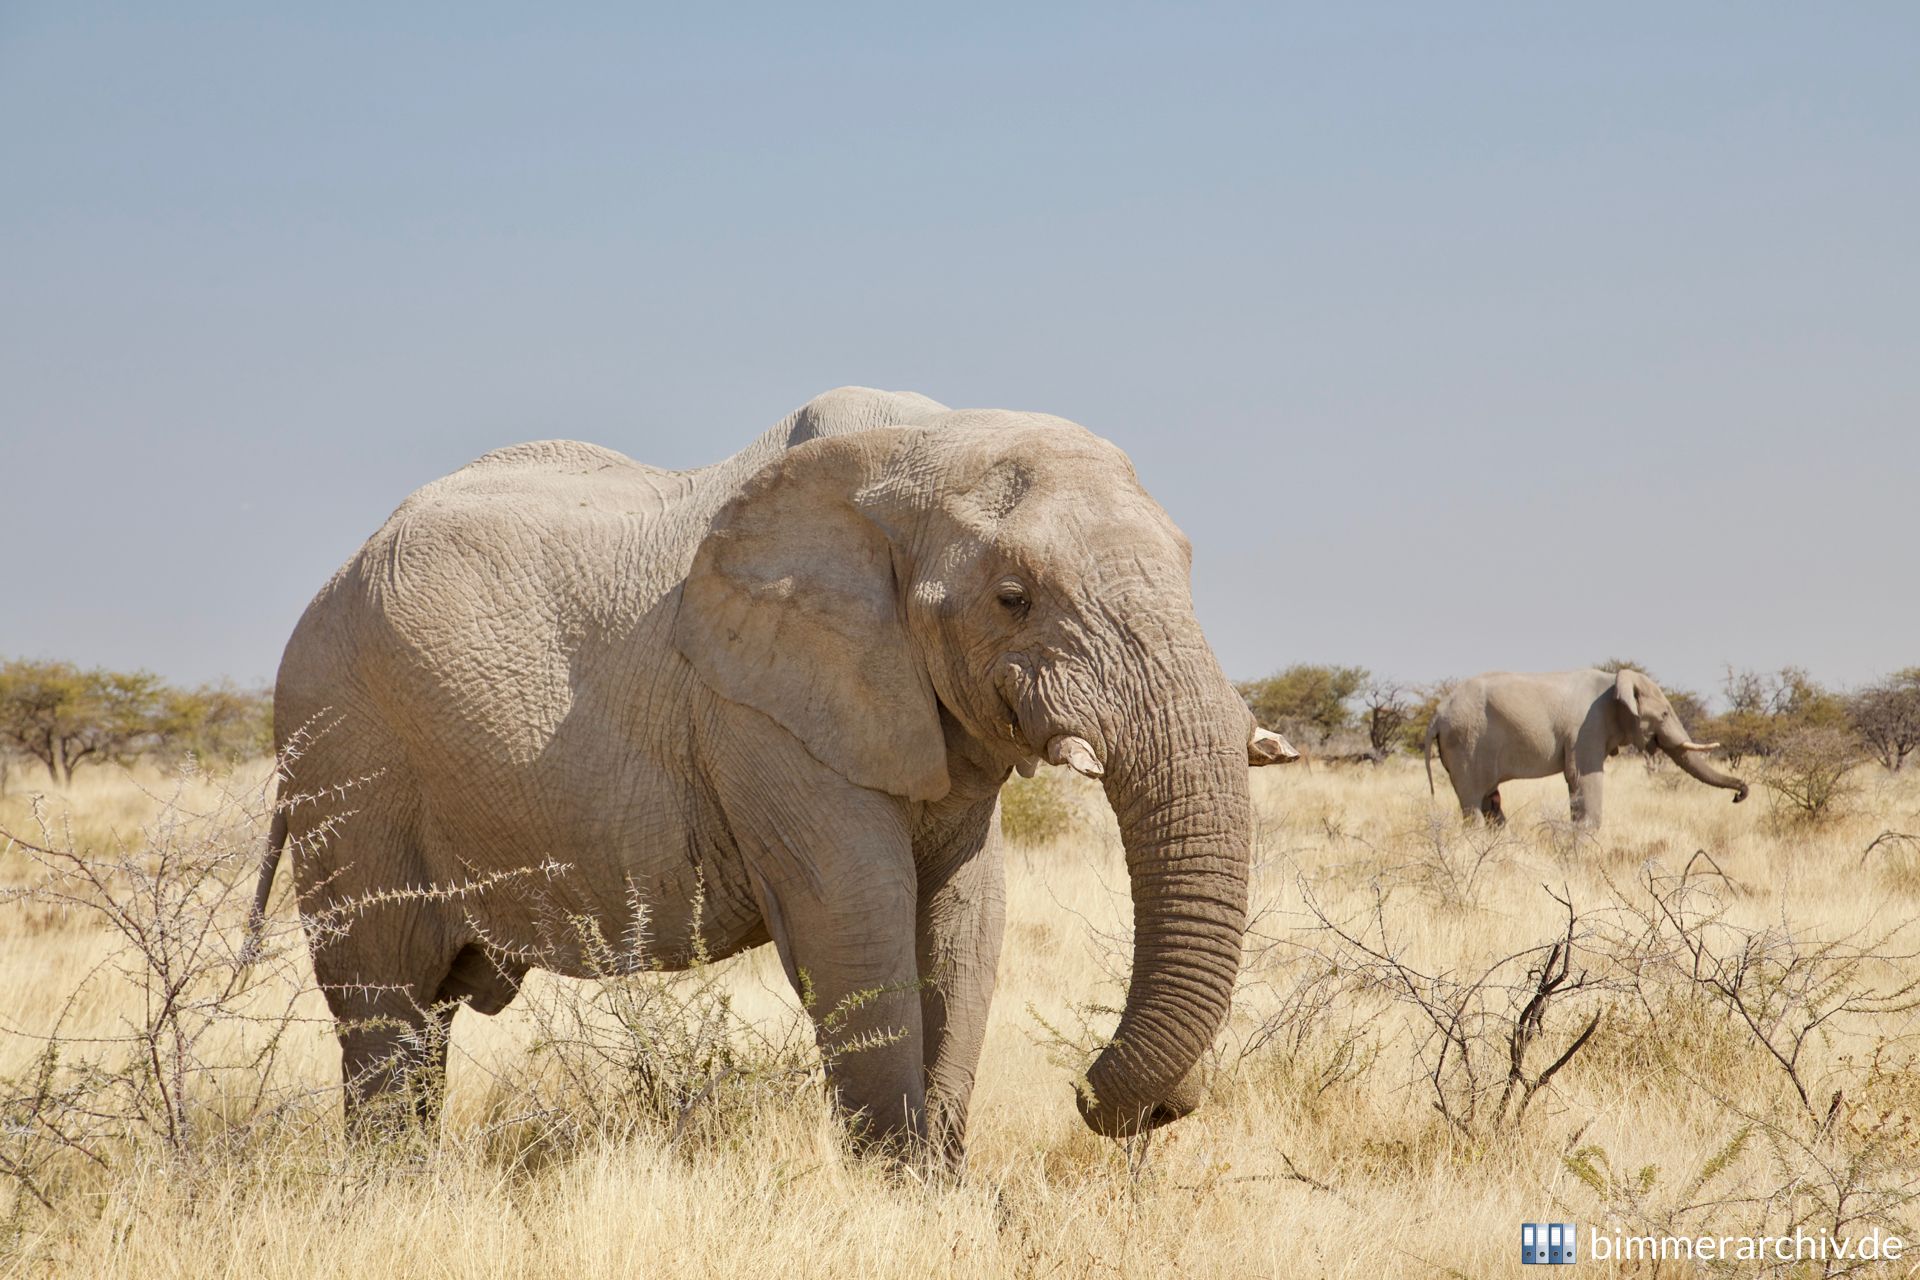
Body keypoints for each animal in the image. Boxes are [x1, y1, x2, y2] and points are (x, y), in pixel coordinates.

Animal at [251, 385, 1274, 1166]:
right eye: (1012, 598)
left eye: (1188, 567)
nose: (1118, 1103)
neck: (913, 452)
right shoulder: (757, 712)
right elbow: (852, 916)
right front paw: (901, 1198)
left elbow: (965, 921)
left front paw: (944, 1188)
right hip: (349, 759)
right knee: (385, 1003)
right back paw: (388, 1188)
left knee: (425, 1014)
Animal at [1420, 671, 1751, 832]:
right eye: (1666, 714)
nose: (1739, 795)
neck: (1615, 681)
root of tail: (1437, 714)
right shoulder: (1586, 728)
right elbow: (1582, 776)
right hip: (1465, 742)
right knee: (1474, 806)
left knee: (1491, 803)